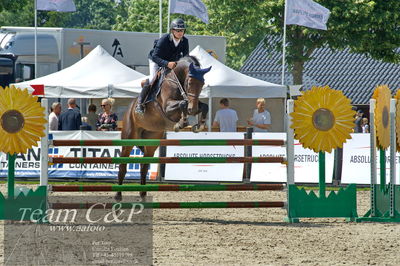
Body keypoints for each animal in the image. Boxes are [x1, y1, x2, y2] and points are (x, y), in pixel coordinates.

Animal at [115, 56, 211, 202]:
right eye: (189, 82)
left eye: (203, 83)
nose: (193, 110)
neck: (177, 80)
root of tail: (129, 109)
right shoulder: (167, 107)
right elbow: (183, 103)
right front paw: (181, 123)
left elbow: (204, 106)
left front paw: (199, 125)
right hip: (129, 138)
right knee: (122, 165)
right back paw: (118, 195)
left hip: (151, 140)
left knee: (144, 166)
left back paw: (143, 195)